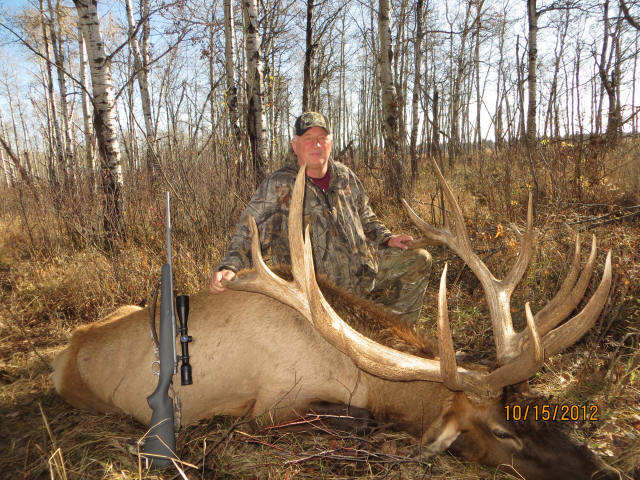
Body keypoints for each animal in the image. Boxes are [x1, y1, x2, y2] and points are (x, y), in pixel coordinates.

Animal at [52, 162, 620, 480]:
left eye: (536, 406)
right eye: (503, 432)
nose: (605, 472)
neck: (360, 373)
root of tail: (65, 351)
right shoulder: (271, 404)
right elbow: (361, 419)